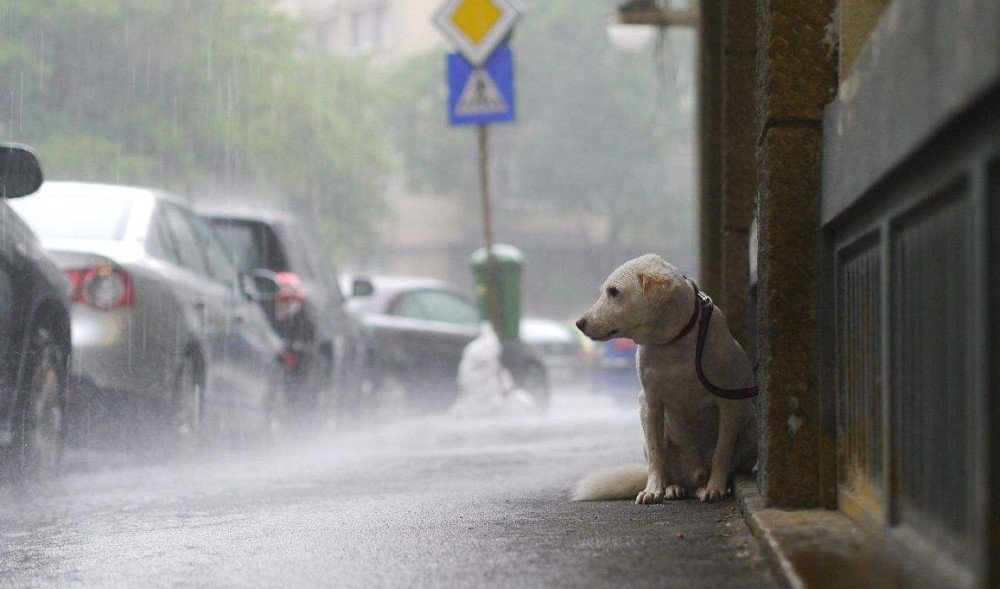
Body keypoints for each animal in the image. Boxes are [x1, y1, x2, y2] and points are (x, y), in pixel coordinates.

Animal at [572, 255, 756, 504]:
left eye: (614, 292)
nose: (579, 323)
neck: (672, 343)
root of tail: (696, 474)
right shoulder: (650, 403)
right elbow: (656, 454)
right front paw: (653, 490)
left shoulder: (727, 401)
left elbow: (722, 451)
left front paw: (715, 487)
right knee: (667, 467)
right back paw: (672, 488)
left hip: (751, 432)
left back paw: (710, 485)